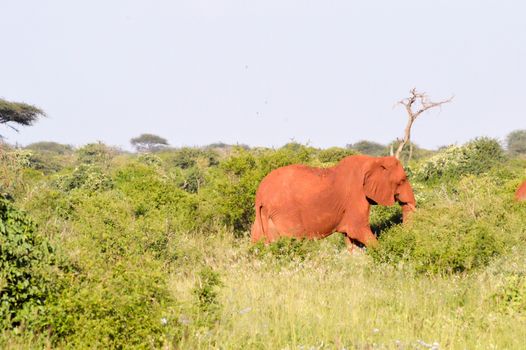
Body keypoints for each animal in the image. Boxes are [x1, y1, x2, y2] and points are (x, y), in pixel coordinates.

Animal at [252, 155, 416, 249]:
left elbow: (351, 239)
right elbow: (358, 230)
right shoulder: (356, 196)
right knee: (293, 240)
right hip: (285, 212)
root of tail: (260, 194)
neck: (373, 160)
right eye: (402, 180)